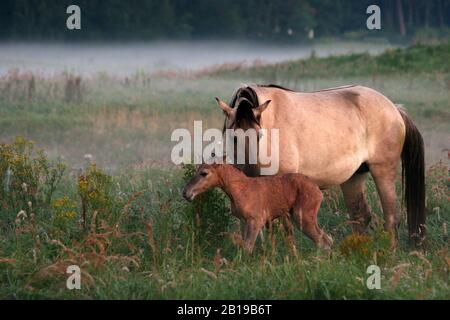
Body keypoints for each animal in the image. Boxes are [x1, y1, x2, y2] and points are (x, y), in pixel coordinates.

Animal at [181, 164, 332, 254]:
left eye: (204, 173)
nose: (186, 192)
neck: (238, 190)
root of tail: (318, 190)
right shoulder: (247, 221)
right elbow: (245, 245)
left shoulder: (256, 220)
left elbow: (248, 247)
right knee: (327, 239)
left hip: (302, 217)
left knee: (323, 241)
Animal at [214, 84, 426, 245]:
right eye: (233, 137)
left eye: (259, 136)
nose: (249, 171)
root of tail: (395, 109)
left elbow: (284, 228)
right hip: (354, 177)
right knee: (360, 217)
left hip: (383, 171)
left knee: (391, 218)